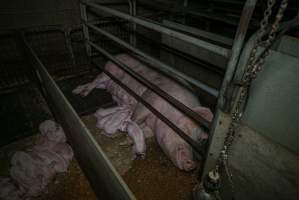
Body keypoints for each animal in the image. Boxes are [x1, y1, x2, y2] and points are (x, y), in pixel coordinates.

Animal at [72, 54, 213, 171]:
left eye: (198, 141)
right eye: (184, 132)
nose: (192, 164)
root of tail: (119, 54)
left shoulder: (151, 128)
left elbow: (143, 133)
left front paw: (128, 143)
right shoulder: (148, 100)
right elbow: (136, 119)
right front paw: (122, 136)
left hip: (106, 83)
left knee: (95, 84)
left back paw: (78, 91)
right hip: (108, 70)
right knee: (94, 81)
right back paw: (80, 93)